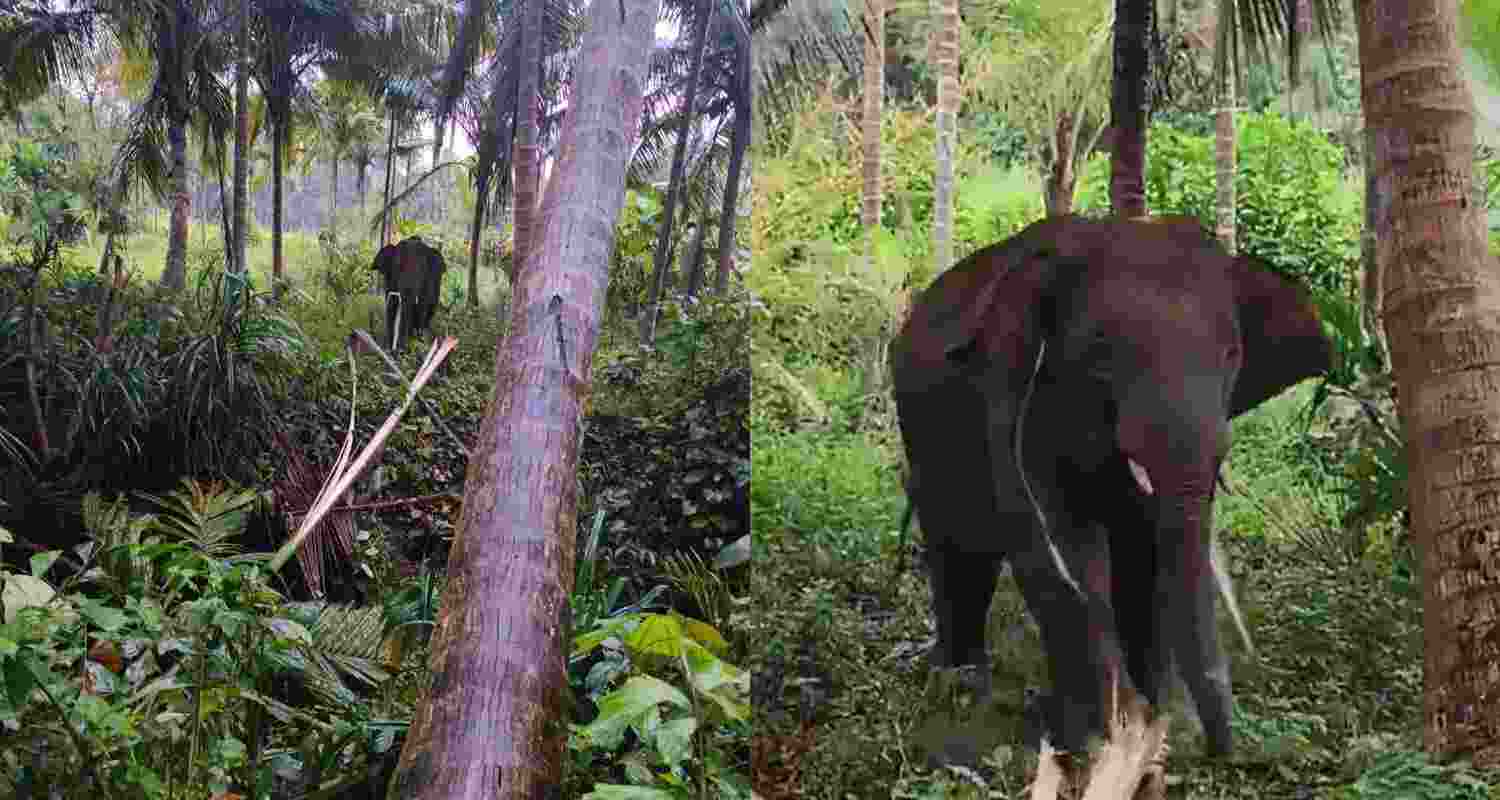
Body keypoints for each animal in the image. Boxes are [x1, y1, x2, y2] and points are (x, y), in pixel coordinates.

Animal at [890, 214, 1331, 757]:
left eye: (1233, 355)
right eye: (1102, 357)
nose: (1220, 751)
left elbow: (1145, 557)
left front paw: (1146, 727)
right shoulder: (1009, 399)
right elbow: (1059, 548)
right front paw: (1099, 740)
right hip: (922, 435)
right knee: (957, 553)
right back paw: (960, 685)